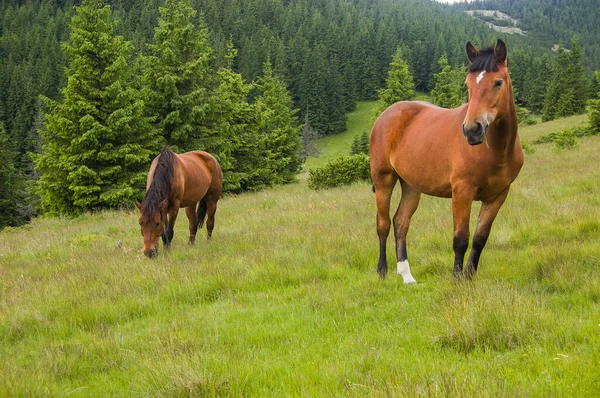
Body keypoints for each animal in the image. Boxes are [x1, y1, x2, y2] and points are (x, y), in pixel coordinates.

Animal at [368, 39, 524, 282]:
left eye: (498, 82)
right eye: (468, 84)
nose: (472, 130)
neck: (496, 151)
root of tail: (386, 114)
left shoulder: (498, 196)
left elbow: (480, 238)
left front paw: (469, 277)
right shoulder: (462, 192)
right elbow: (460, 239)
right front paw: (457, 279)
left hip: (411, 185)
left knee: (401, 223)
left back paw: (407, 276)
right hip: (384, 180)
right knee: (383, 224)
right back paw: (382, 271)